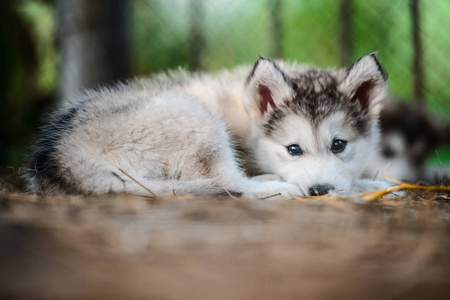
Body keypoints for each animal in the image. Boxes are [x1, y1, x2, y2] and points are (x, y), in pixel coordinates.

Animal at [26, 53, 388, 199]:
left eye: (339, 145)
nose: (319, 191)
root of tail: (60, 158)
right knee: (230, 183)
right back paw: (277, 187)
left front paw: (370, 182)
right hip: (194, 118)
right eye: (293, 149)